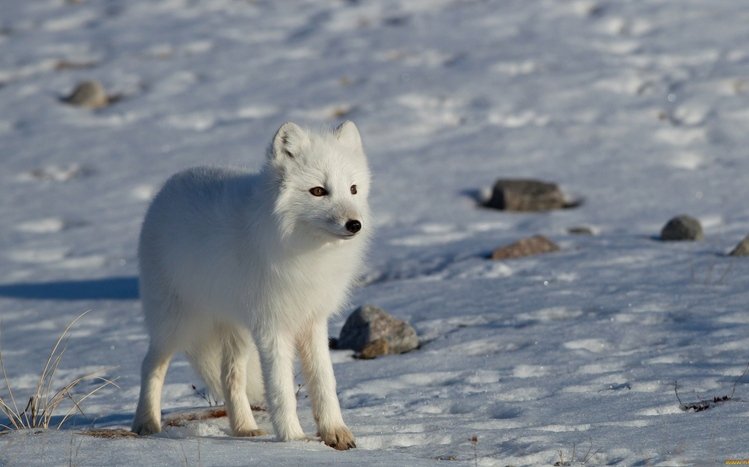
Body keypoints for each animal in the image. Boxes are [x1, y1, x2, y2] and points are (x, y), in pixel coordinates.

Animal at [131, 121, 371, 450]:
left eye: (353, 189)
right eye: (318, 191)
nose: (354, 224)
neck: (304, 250)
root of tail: (167, 188)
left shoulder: (312, 320)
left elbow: (324, 382)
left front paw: (336, 433)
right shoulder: (271, 326)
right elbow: (281, 389)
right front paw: (294, 440)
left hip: (236, 330)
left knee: (229, 377)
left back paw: (244, 428)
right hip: (177, 323)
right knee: (150, 365)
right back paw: (146, 423)